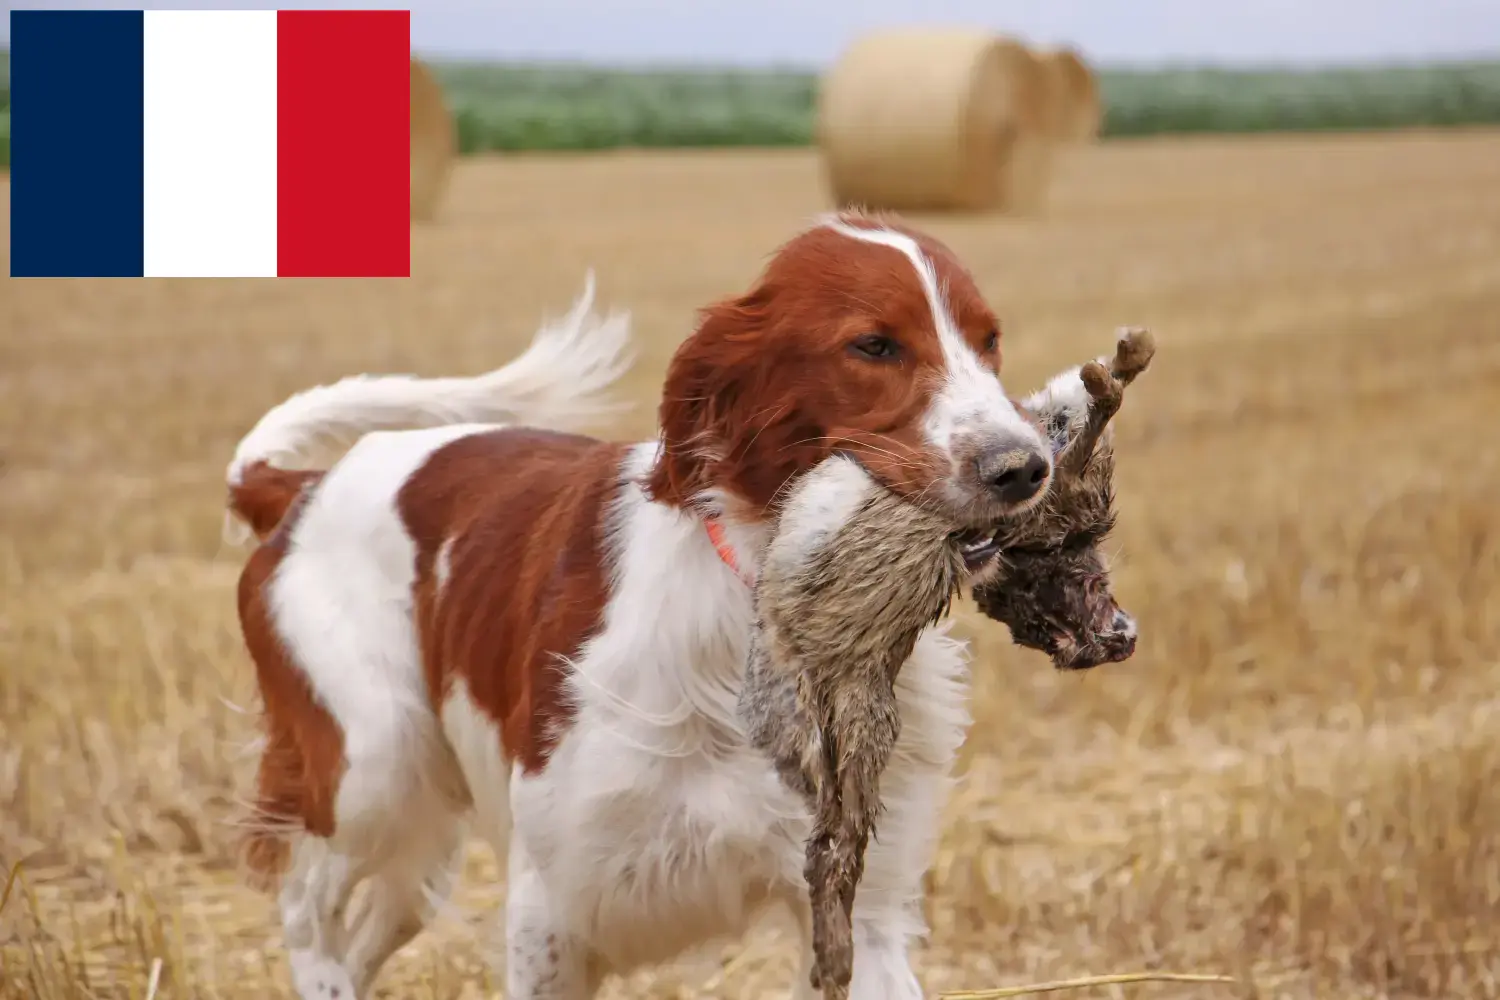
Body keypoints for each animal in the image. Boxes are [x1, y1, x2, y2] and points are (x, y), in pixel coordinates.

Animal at [228, 209, 1056, 995]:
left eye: (988, 341)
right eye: (874, 345)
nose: (1024, 467)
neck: (761, 603)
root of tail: (300, 489)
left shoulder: (860, 905)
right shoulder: (550, 907)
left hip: (416, 837)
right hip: (373, 770)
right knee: (304, 912)